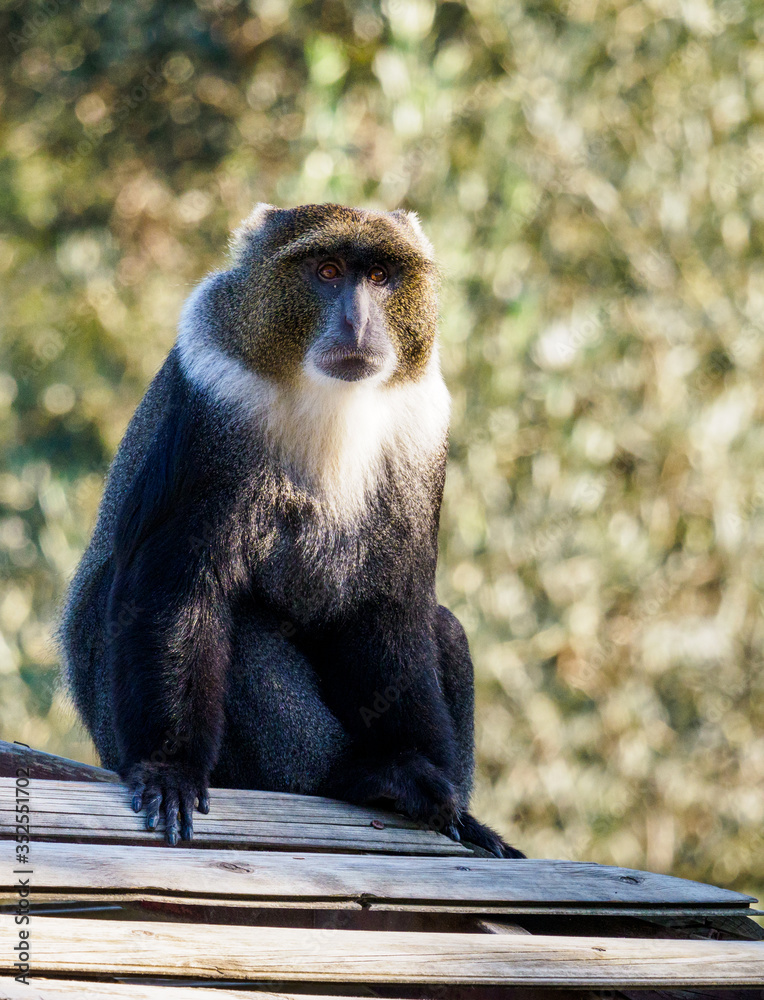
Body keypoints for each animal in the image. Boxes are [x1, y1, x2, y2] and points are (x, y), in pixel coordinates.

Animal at [59, 203, 524, 858]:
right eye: (326, 271)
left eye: (379, 276)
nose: (357, 322)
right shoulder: (214, 400)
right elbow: (180, 588)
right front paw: (170, 771)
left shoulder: (421, 429)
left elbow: (394, 609)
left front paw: (441, 797)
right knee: (240, 623)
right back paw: (357, 776)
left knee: (447, 630)